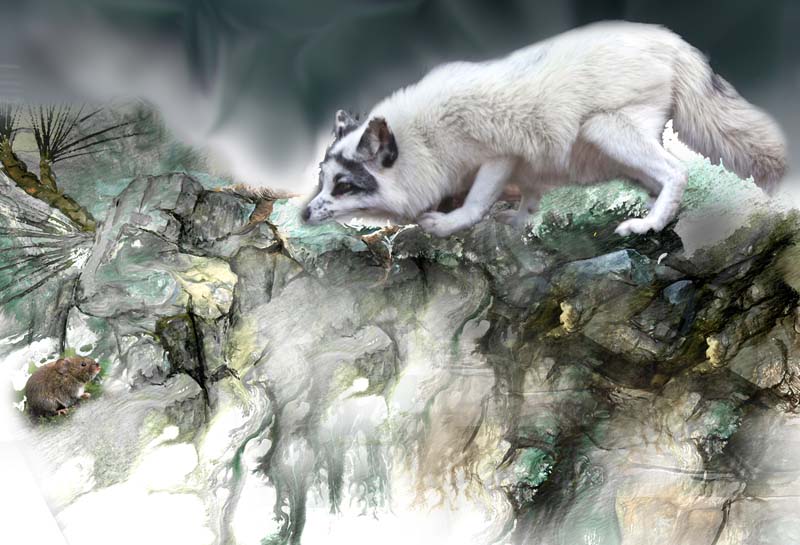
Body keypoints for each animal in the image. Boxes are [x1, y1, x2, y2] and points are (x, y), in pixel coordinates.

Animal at [303, 21, 786, 237]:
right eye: (322, 180)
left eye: (345, 186)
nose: (305, 214)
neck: (423, 141)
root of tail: (674, 41)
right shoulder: (521, 168)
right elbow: (529, 197)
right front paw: (521, 219)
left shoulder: (498, 155)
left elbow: (477, 201)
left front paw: (448, 223)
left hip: (603, 128)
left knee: (675, 170)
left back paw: (648, 224)